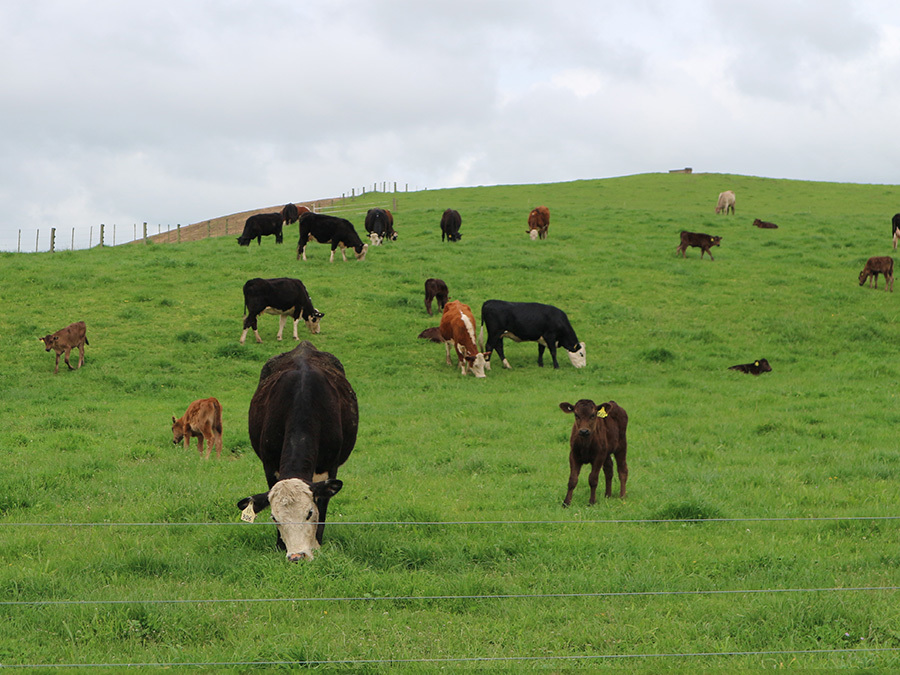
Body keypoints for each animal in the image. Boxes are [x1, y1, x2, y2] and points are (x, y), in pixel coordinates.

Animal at [237, 340, 356, 564]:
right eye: (274, 517)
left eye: (309, 513)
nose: (297, 556)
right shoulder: (269, 465)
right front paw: (279, 545)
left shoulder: (330, 466)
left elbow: (323, 505)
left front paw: (317, 545)